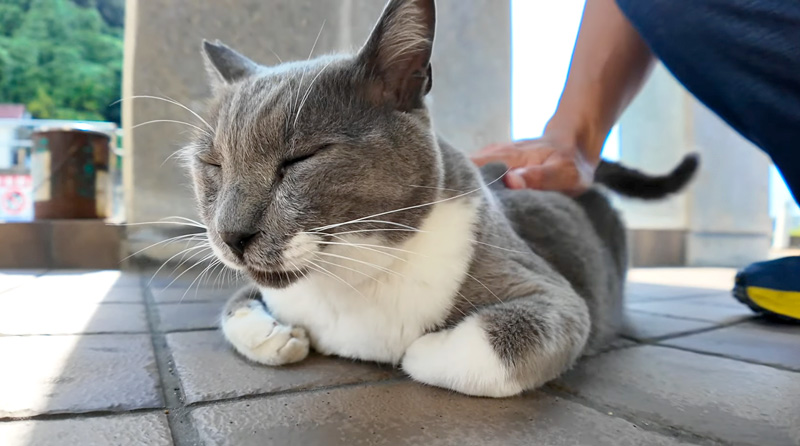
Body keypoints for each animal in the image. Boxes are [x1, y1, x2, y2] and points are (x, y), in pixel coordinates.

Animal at [186, 0, 692, 398]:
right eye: (213, 165)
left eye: (300, 159)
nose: (231, 234)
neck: (348, 282)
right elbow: (234, 309)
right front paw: (278, 335)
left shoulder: (554, 296)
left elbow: (469, 349)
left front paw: (418, 347)